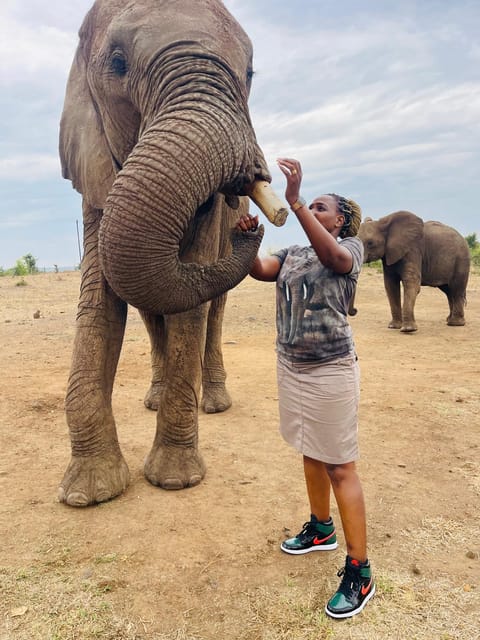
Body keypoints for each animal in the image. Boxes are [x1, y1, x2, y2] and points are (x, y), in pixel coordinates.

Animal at [57, 0, 288, 507]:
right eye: (117, 64)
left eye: (249, 72)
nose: (252, 227)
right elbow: (99, 305)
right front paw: (87, 494)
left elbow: (190, 309)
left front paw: (175, 480)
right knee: (152, 311)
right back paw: (155, 399)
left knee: (213, 309)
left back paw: (213, 403)